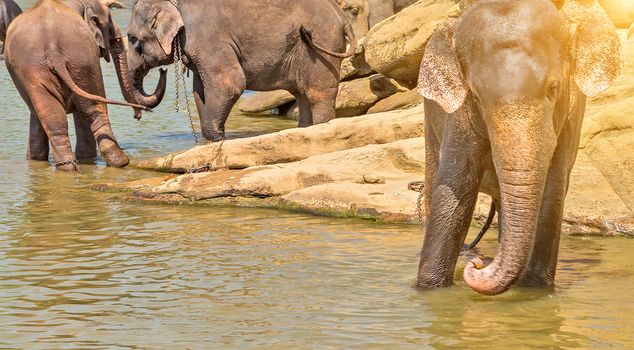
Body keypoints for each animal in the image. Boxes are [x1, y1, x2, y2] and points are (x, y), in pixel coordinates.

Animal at [4, 0, 163, 171]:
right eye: (116, 39)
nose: (137, 116)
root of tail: (53, 51)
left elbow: (37, 114)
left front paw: (36, 159)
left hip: (57, 66)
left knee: (56, 118)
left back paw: (68, 168)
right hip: (81, 60)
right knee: (93, 110)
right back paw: (120, 162)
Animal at [127, 0, 356, 142]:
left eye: (131, 38)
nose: (162, 72)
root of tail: (343, 17)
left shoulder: (208, 38)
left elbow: (230, 84)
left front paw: (218, 139)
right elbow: (200, 91)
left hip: (320, 46)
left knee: (317, 94)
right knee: (302, 95)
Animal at [414, 0, 616, 296]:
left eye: (554, 88)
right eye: (476, 96)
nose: (476, 264)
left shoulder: (569, 118)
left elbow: (552, 193)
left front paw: (534, 291)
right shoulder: (458, 116)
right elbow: (455, 191)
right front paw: (431, 290)